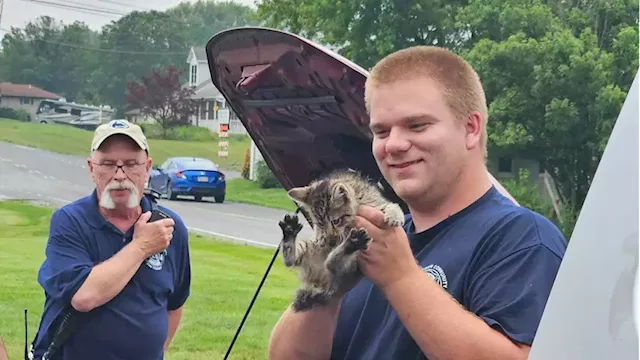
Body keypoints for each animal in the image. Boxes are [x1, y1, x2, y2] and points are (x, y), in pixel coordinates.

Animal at [276, 169, 404, 312]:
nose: (331, 236)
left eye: (336, 221)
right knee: (297, 261)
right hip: (310, 247)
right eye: (320, 224)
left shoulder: (374, 201)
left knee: (333, 265)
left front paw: (394, 215)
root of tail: (325, 282)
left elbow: (390, 205)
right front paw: (324, 236)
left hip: (353, 266)